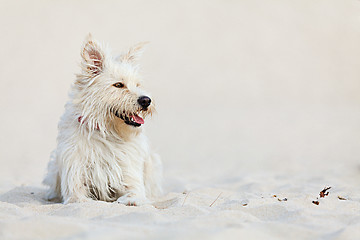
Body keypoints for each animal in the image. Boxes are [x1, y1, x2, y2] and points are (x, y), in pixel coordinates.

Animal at [43, 34, 164, 205]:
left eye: (138, 84)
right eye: (118, 85)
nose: (146, 100)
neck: (107, 132)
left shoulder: (131, 178)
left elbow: (134, 194)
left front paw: (130, 201)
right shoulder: (74, 180)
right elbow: (78, 198)